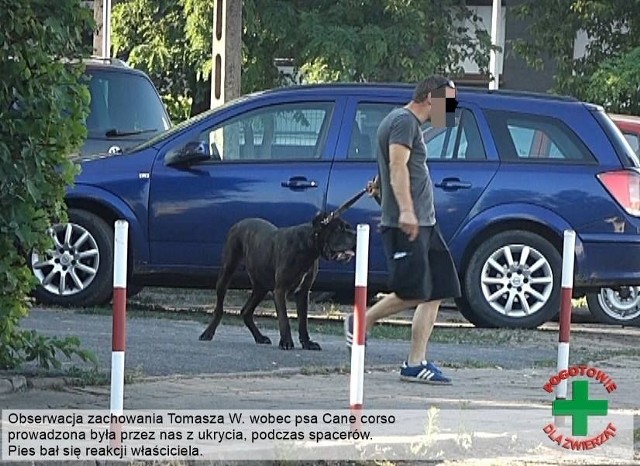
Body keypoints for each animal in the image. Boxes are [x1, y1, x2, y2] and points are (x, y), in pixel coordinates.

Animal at [198, 212, 358, 350]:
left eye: (348, 227)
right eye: (339, 229)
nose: (355, 234)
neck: (308, 247)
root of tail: (239, 223)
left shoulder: (303, 293)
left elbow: (303, 321)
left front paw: (307, 343)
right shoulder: (280, 290)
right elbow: (284, 319)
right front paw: (286, 342)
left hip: (261, 287)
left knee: (246, 311)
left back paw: (260, 337)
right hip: (227, 273)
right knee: (219, 308)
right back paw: (208, 333)